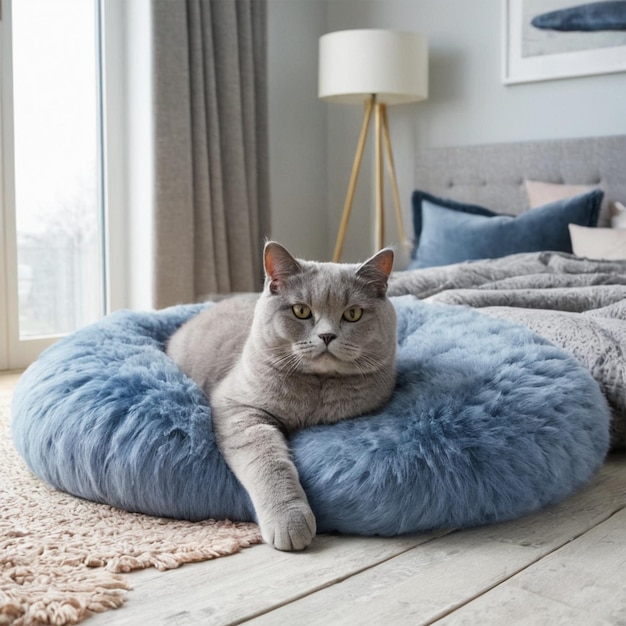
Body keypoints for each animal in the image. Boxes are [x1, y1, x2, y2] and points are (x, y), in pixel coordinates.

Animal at [166, 241, 394, 548]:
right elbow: (269, 463)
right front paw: (290, 523)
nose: (327, 336)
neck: (316, 387)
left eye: (353, 314)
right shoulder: (239, 409)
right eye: (301, 311)